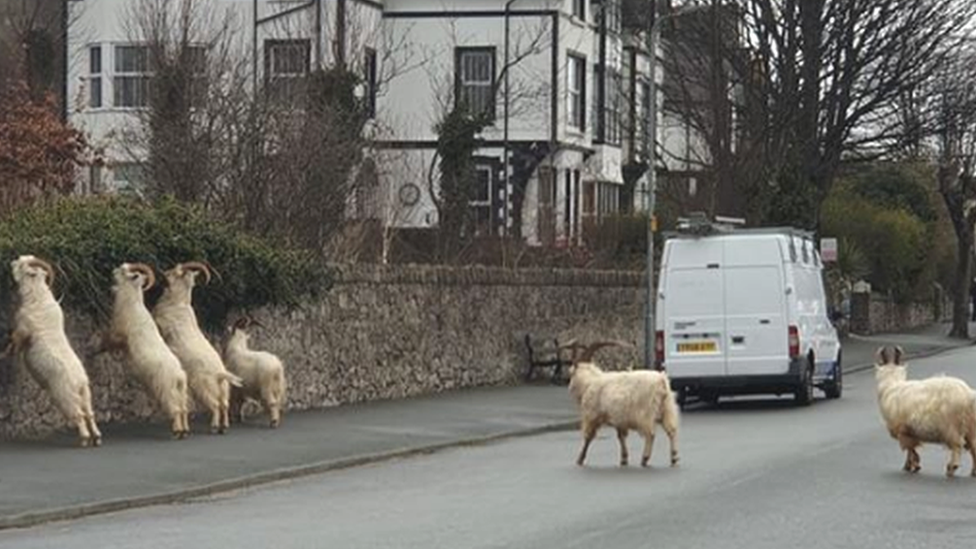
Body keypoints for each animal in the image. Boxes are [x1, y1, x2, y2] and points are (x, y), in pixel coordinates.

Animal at [2, 255, 102, 448]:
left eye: (24, 265)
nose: (11, 262)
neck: (37, 296)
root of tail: (79, 382)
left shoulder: (23, 329)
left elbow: (17, 341)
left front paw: (5, 353)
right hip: (85, 395)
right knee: (90, 413)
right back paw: (97, 438)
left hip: (64, 395)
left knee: (79, 415)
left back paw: (84, 439)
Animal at [92, 264, 192, 438]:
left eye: (125, 271)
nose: (113, 271)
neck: (132, 302)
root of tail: (180, 376)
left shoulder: (118, 334)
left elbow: (107, 341)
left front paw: (94, 348)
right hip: (180, 392)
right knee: (183, 409)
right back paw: (184, 431)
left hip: (166, 390)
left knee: (176, 409)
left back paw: (177, 431)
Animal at [154, 262, 244, 432]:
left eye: (177, 272)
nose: (163, 273)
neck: (178, 304)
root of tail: (221, 374)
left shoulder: (163, 324)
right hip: (223, 390)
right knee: (224, 405)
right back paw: (224, 426)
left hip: (203, 386)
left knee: (215, 405)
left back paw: (214, 426)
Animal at [564, 340, 680, 468]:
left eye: (571, 373)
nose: (569, 388)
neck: (589, 382)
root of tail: (661, 381)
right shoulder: (619, 419)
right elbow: (621, 437)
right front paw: (624, 459)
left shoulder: (592, 416)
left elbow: (588, 437)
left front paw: (580, 459)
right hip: (667, 409)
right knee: (672, 431)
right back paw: (674, 458)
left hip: (646, 413)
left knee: (650, 434)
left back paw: (645, 458)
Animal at [876, 344, 976, 478]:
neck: (891, 386)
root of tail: (968, 394)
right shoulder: (909, 431)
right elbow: (910, 449)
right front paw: (909, 465)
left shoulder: (902, 430)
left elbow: (910, 448)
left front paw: (914, 465)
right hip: (970, 427)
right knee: (974, 446)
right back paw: (973, 471)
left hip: (951, 426)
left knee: (957, 445)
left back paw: (951, 468)